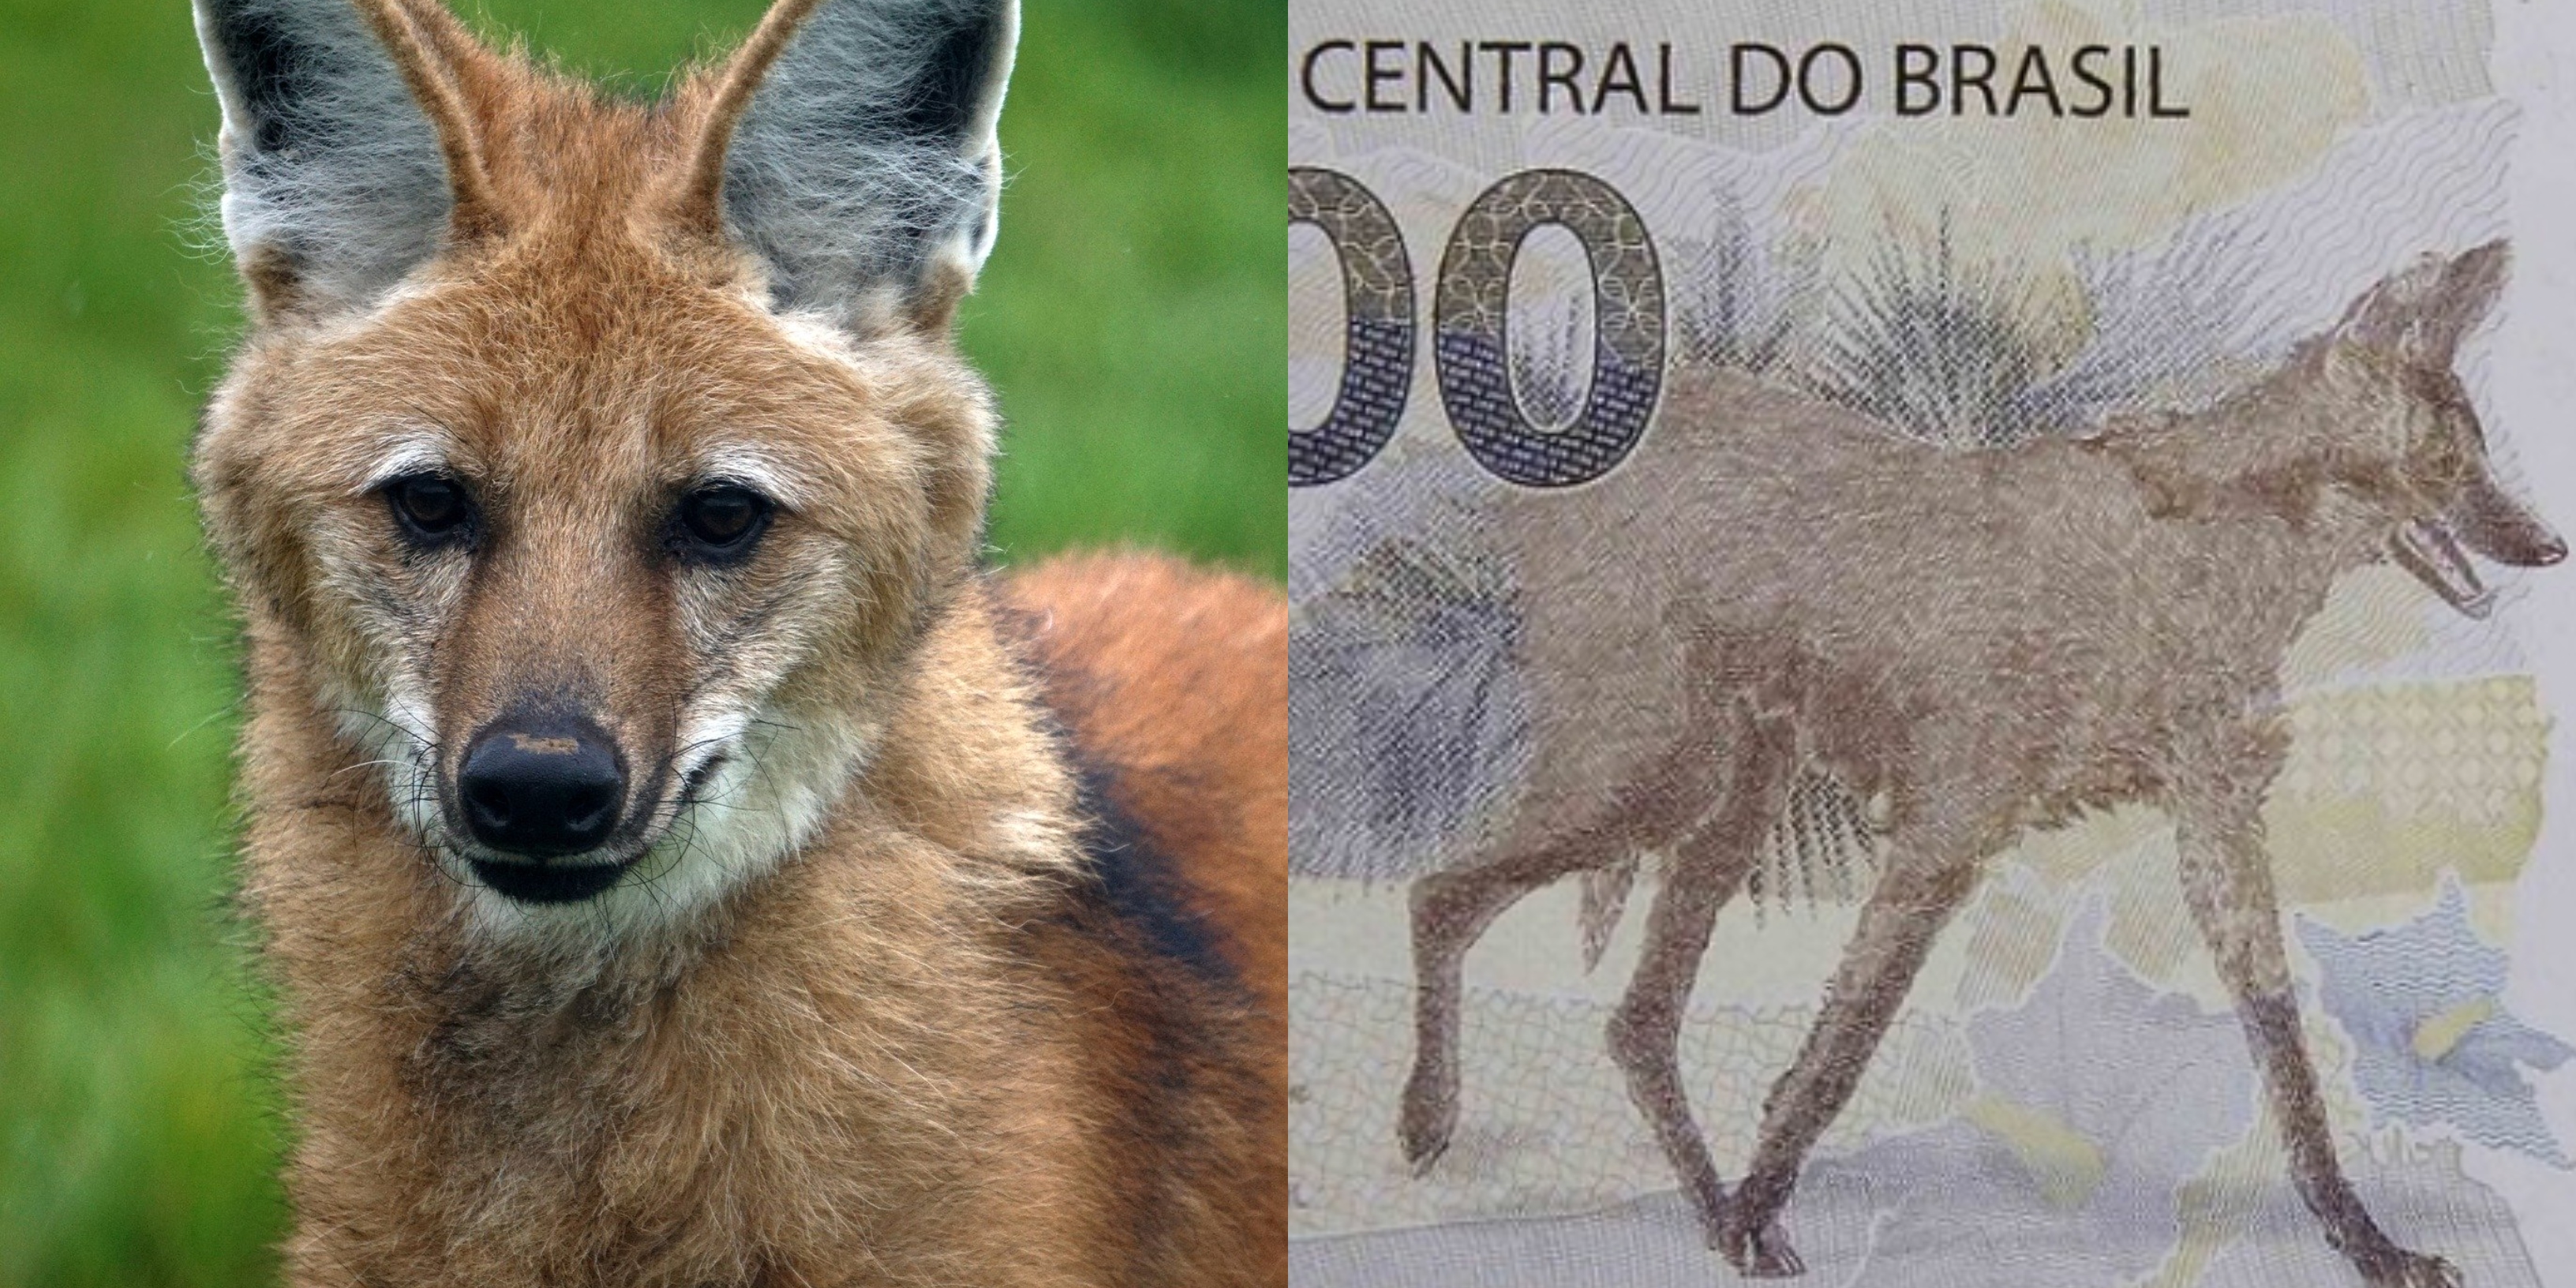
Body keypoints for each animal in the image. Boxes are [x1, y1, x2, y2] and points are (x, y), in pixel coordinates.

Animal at [1395, 244, 2557, 1286]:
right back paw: (1435, 1122)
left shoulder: (2214, 822)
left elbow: (2285, 1049)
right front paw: (1766, 1197)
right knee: (1440, 894)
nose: (2549, 548)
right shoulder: (1945, 836)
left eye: (2480, 455)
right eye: (2450, 466)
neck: (2195, 547)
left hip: (1729, 802)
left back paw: (1720, 1221)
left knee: (1634, 1024)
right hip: (1656, 779)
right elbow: (1837, 1053)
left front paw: (2372, 1247)